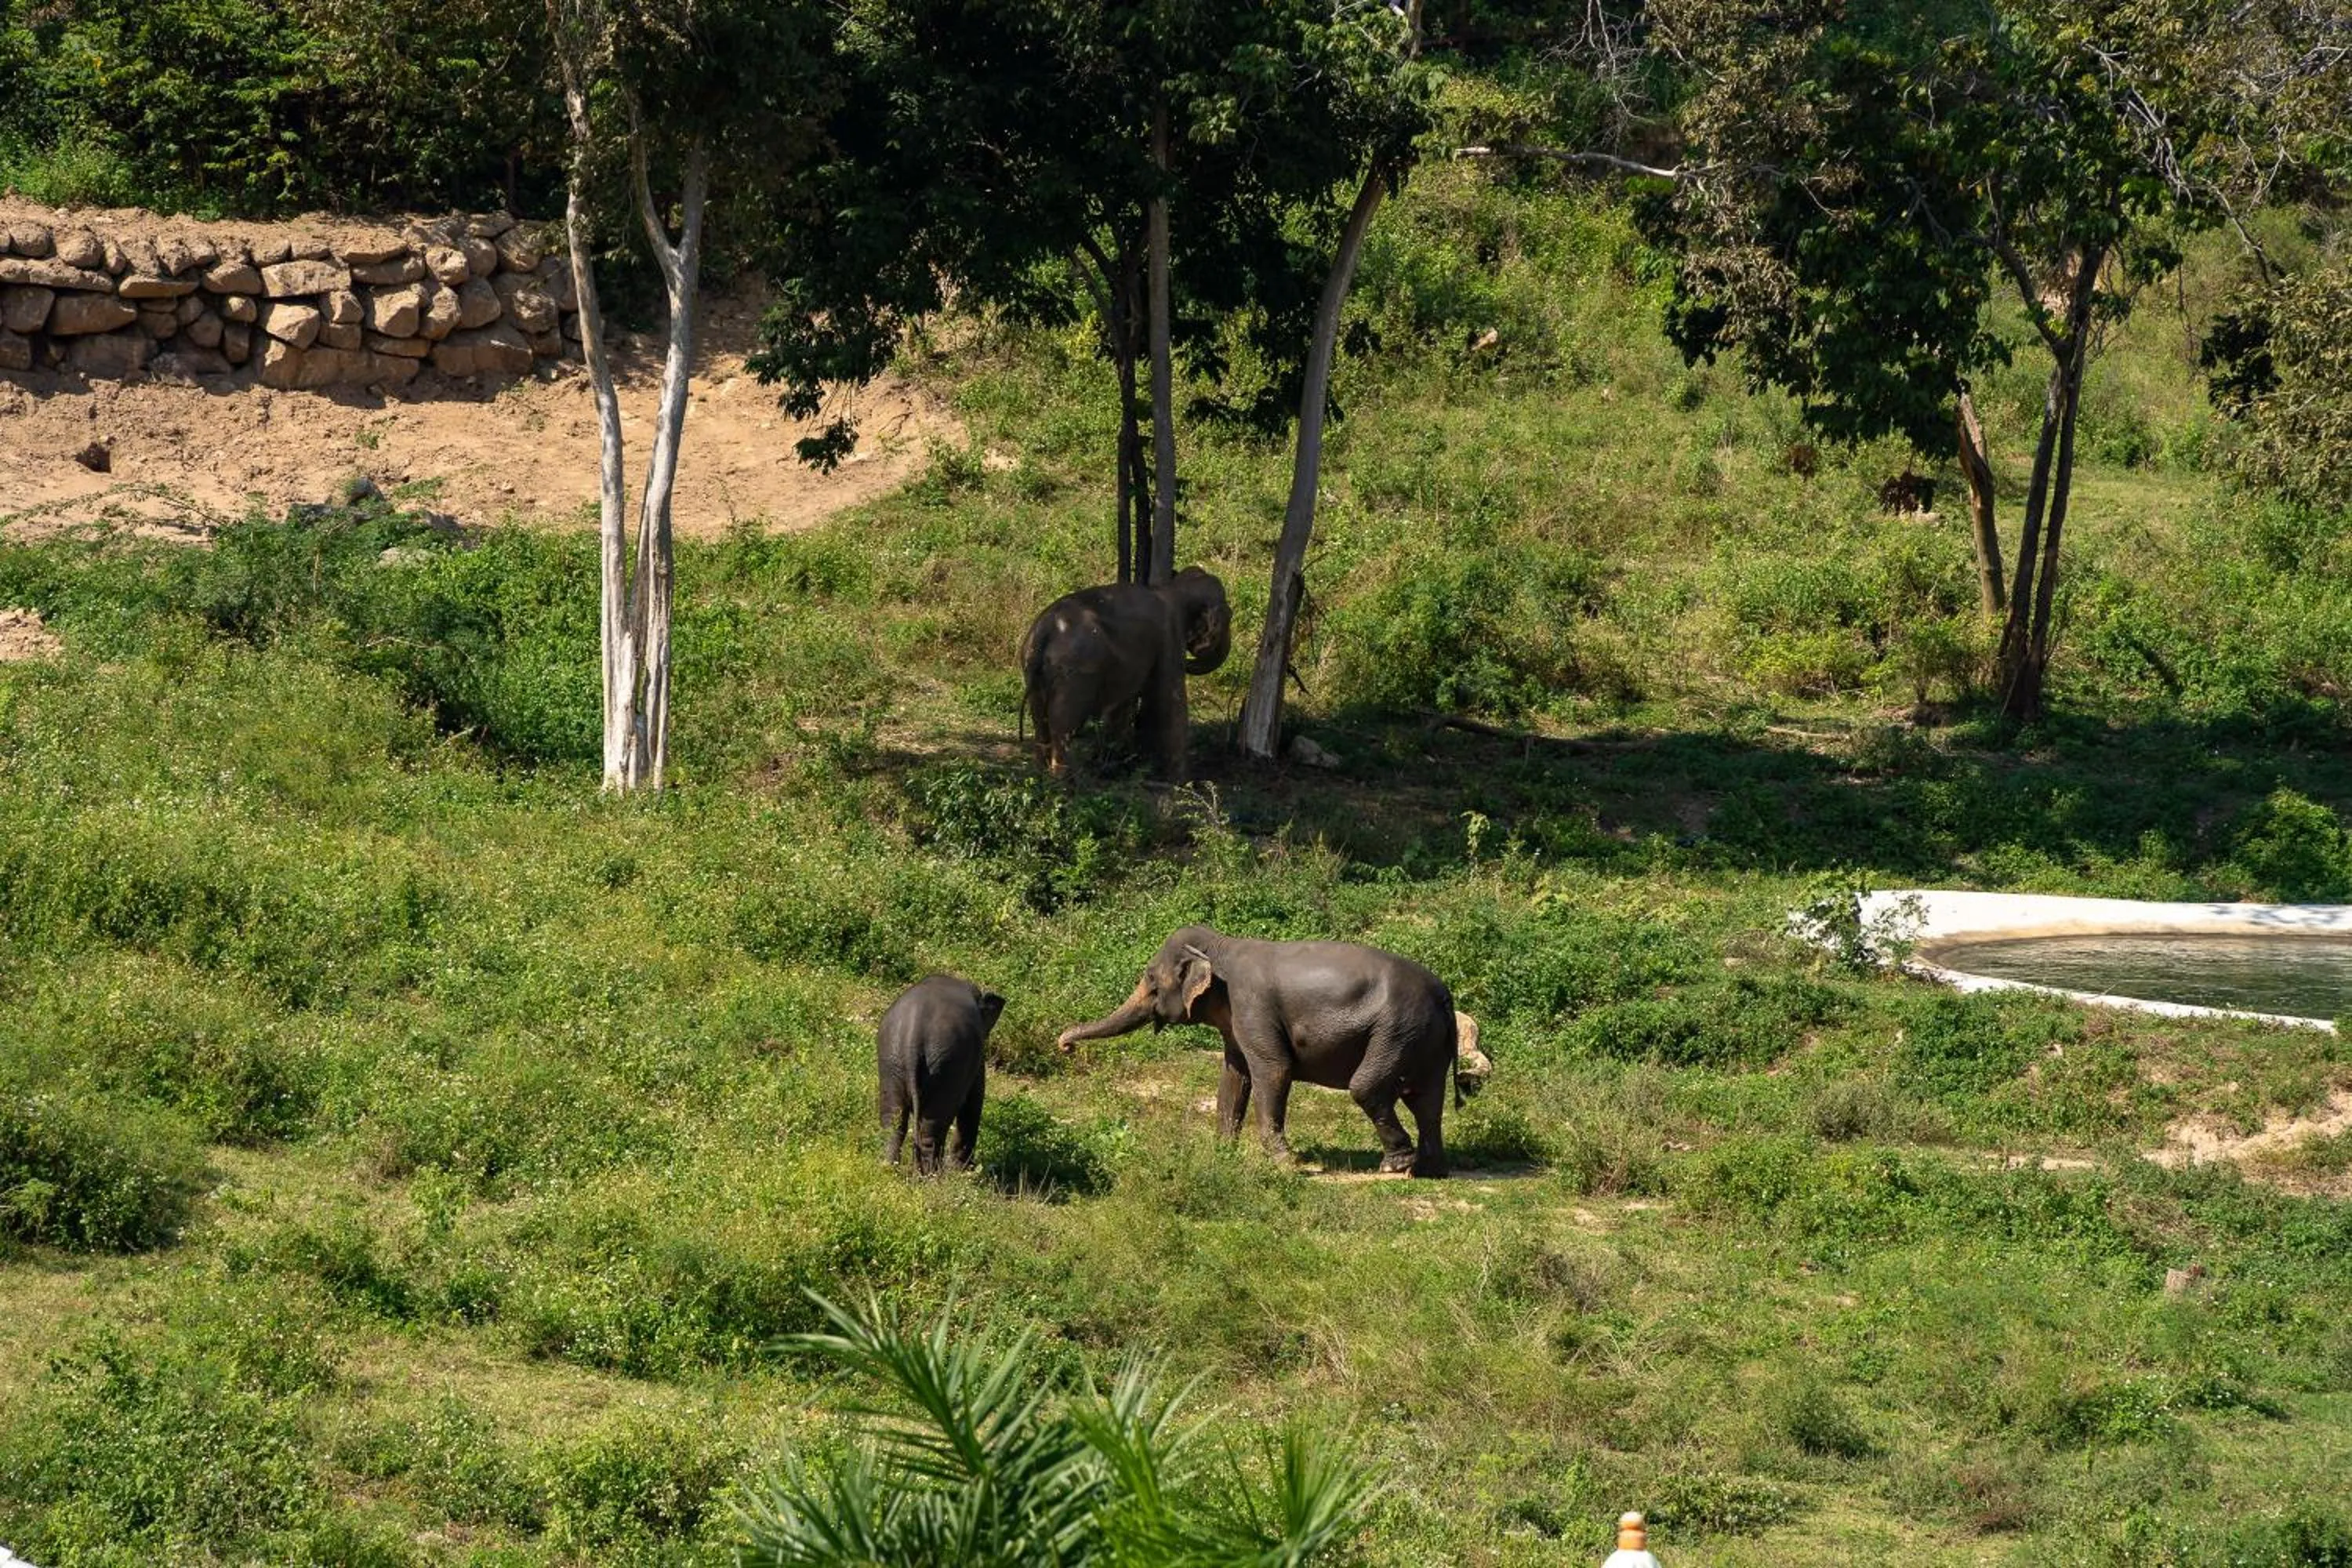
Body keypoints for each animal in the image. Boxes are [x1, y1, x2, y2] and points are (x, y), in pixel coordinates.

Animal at [878, 973, 1005, 1174]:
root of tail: (913, 1038)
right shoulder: (975, 1058)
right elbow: (973, 1102)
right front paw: (963, 1171)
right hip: (947, 1064)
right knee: (933, 1126)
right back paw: (932, 1176)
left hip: (892, 1060)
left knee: (893, 1119)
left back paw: (889, 1168)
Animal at [1019, 567, 1231, 781]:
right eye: (1229, 615)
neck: (1174, 587)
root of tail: (1046, 629)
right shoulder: (1170, 635)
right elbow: (1171, 698)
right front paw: (1182, 782)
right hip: (1075, 671)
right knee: (1063, 723)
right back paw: (1066, 780)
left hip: (1032, 666)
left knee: (1040, 719)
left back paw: (1041, 774)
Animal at [1056, 925, 1465, 1177]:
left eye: (1151, 979)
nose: (1065, 1045)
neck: (1221, 945)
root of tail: (1444, 995)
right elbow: (1234, 1077)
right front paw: (1222, 1154)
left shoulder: (1252, 1006)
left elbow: (1273, 1069)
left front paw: (1287, 1163)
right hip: (1423, 1038)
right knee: (1425, 1099)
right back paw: (1429, 1170)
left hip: (1397, 1030)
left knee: (1368, 1088)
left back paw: (1395, 1167)